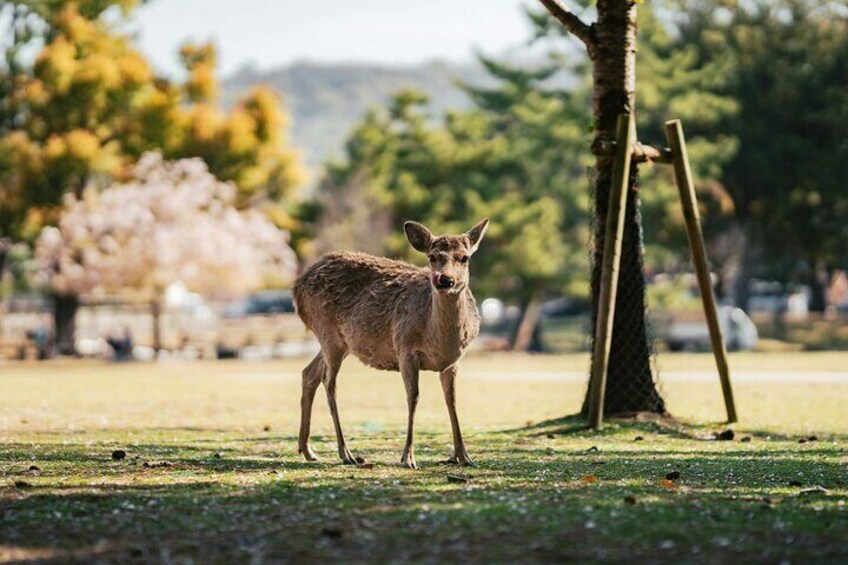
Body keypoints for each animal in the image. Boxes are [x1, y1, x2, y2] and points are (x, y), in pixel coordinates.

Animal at [293, 218, 489, 469]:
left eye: (465, 257)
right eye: (432, 257)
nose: (444, 279)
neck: (439, 340)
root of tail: (297, 287)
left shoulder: (453, 361)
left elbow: (452, 400)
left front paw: (464, 456)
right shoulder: (405, 347)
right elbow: (413, 396)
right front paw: (408, 458)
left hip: (340, 342)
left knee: (309, 373)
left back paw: (308, 449)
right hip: (327, 331)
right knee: (329, 383)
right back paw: (345, 453)